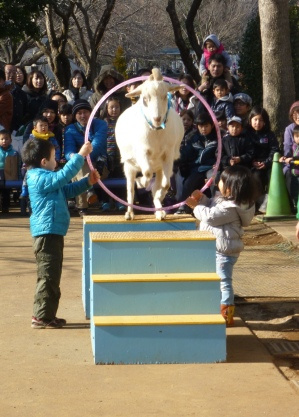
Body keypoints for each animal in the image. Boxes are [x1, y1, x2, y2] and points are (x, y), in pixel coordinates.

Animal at [115, 66, 184, 219]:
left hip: (159, 167)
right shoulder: (141, 152)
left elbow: (165, 184)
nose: (157, 118)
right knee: (130, 189)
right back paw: (129, 213)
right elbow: (146, 173)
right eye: (145, 98)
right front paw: (141, 183)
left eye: (165, 96)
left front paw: (159, 196)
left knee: (159, 184)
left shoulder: (168, 154)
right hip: (129, 165)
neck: (156, 131)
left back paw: (160, 211)